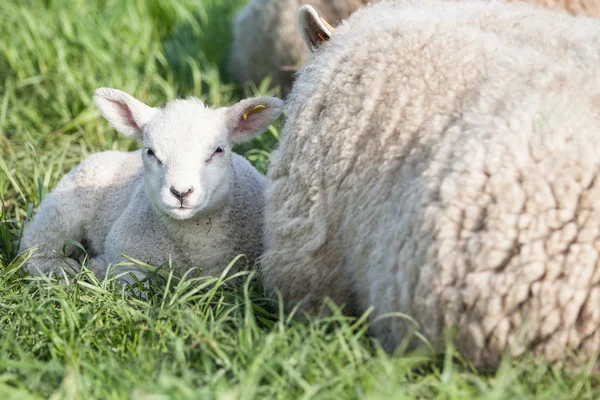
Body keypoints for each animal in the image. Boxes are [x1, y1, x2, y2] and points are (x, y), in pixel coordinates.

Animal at [18, 88, 282, 284]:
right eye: (151, 152)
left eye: (218, 150)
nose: (181, 192)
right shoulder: (123, 249)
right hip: (61, 212)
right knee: (31, 249)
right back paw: (63, 268)